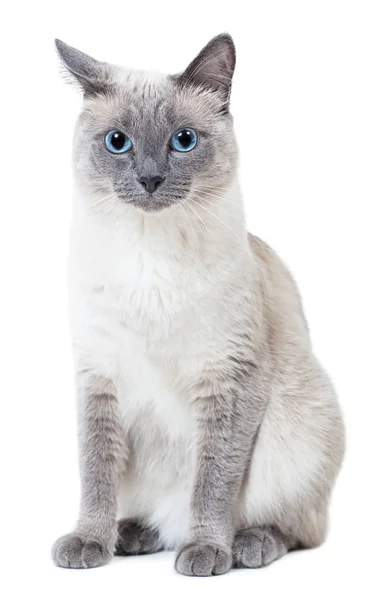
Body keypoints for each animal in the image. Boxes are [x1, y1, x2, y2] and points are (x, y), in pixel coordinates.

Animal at [52, 34, 346, 576]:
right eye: (117, 142)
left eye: (183, 140)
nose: (149, 179)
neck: (149, 260)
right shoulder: (98, 378)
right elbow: (95, 473)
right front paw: (88, 543)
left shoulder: (229, 381)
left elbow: (213, 483)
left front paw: (208, 550)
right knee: (157, 518)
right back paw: (132, 536)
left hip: (300, 428)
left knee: (300, 529)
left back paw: (244, 546)